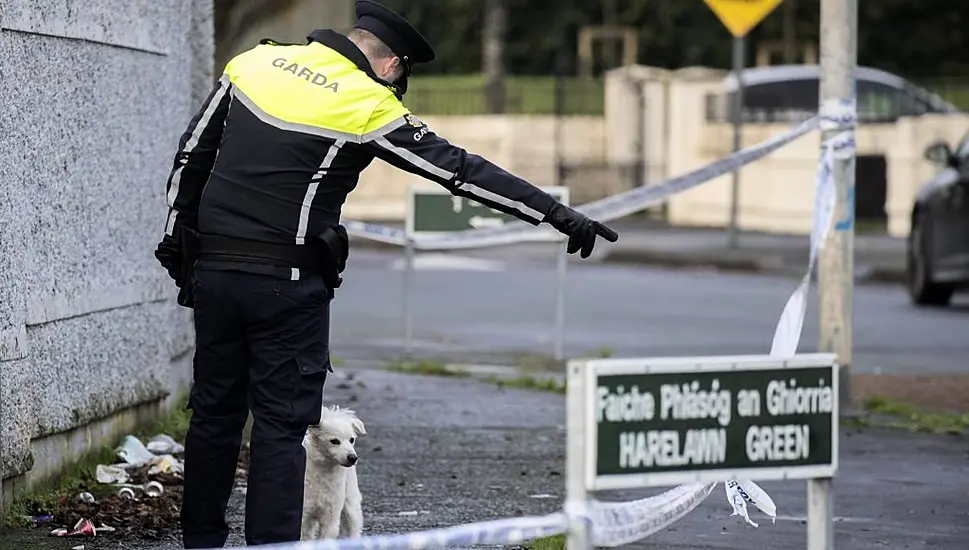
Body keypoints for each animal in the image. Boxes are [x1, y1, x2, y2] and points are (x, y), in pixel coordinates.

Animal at [300, 404, 364, 540]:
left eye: (352, 440)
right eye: (334, 441)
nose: (353, 458)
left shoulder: (331, 516)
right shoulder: (304, 515)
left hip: (351, 503)